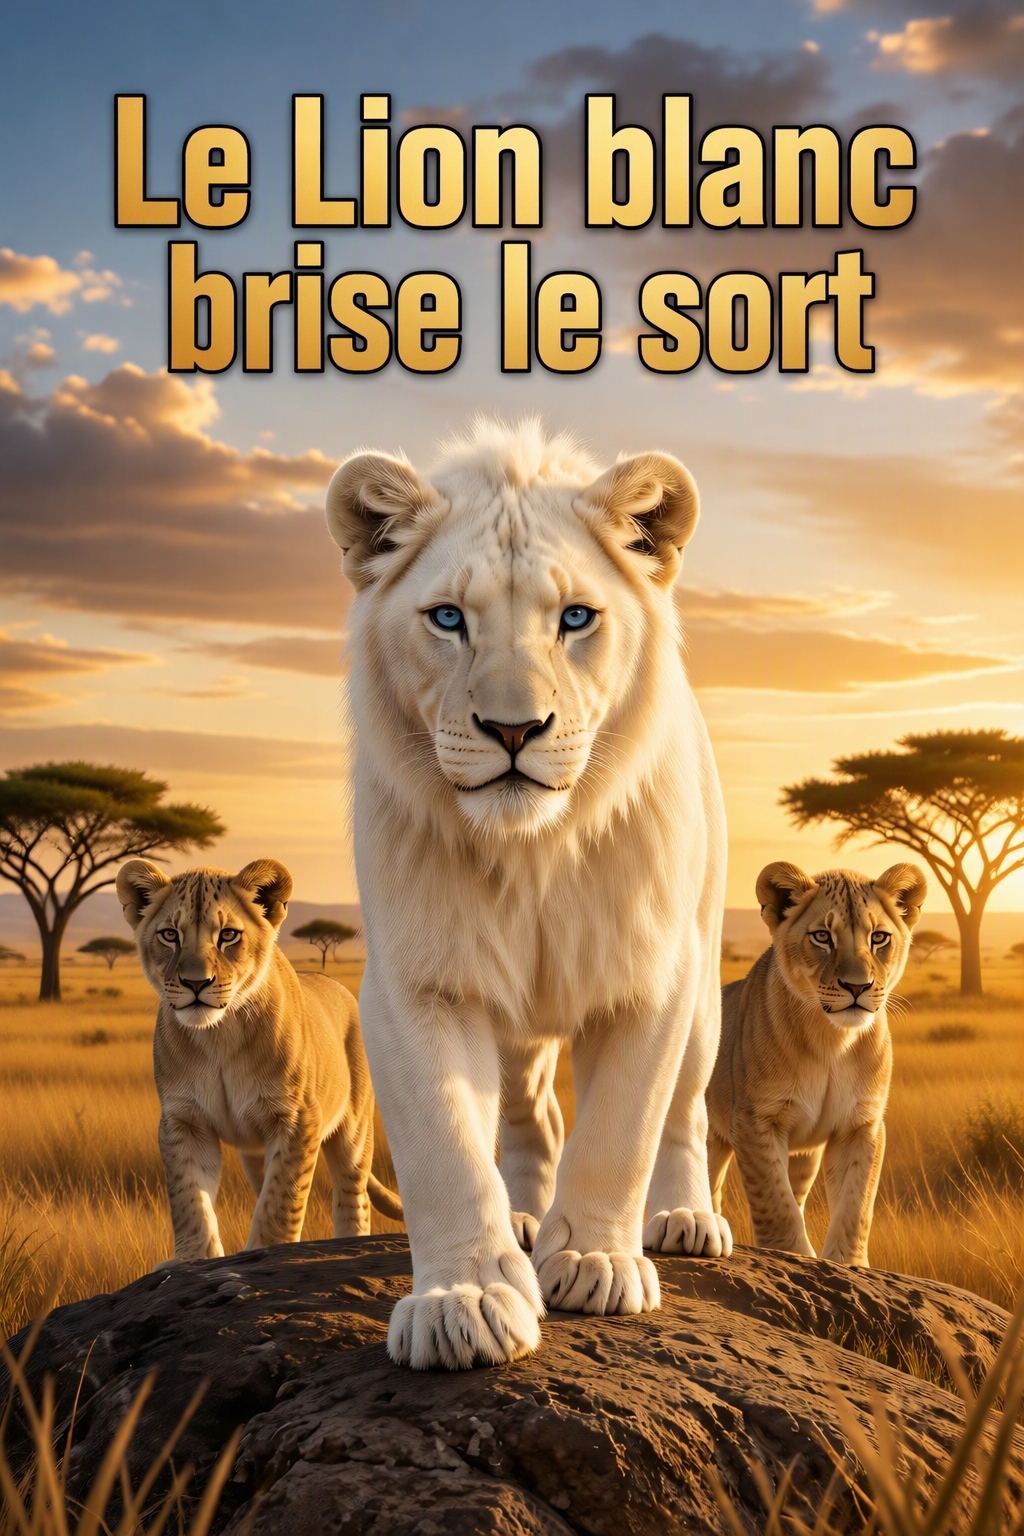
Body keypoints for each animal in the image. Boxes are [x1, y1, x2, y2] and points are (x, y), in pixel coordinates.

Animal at [116, 856, 403, 1264]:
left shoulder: (297, 1118)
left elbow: (282, 1198)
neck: (217, 1036)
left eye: (228, 935)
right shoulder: (184, 1120)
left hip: (355, 1131)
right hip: (253, 1154)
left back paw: (347, 1246)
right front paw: (193, 1259)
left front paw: (271, 1252)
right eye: (169, 935)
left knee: (353, 1196)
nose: (195, 983)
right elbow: (189, 1198)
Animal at [325, 418, 731, 1371]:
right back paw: (519, 1215)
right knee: (526, 1114)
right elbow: (444, 1147)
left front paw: (594, 1262)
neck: (532, 850)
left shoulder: (655, 977)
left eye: (575, 617)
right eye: (448, 618)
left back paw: (683, 1217)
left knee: (687, 1112)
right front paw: (465, 1300)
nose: (513, 729)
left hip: (704, 989)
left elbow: (623, 1127)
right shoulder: (418, 983)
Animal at [706, 861, 927, 1266]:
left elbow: (856, 1206)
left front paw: (850, 1265)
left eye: (879, 937)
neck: (831, 1042)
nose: (857, 986)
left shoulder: (861, 1124)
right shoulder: (755, 1120)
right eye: (823, 936)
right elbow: (776, 1204)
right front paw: (791, 1255)